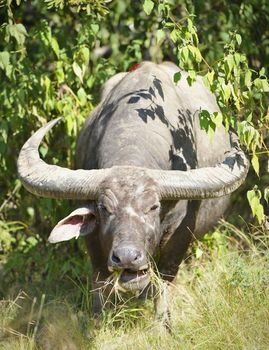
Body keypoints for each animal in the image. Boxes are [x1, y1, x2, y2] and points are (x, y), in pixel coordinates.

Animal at [17, 60, 247, 322]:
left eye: (154, 207)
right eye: (104, 208)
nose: (127, 257)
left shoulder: (180, 232)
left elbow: (165, 278)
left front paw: (162, 323)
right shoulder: (94, 239)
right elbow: (101, 278)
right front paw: (100, 318)